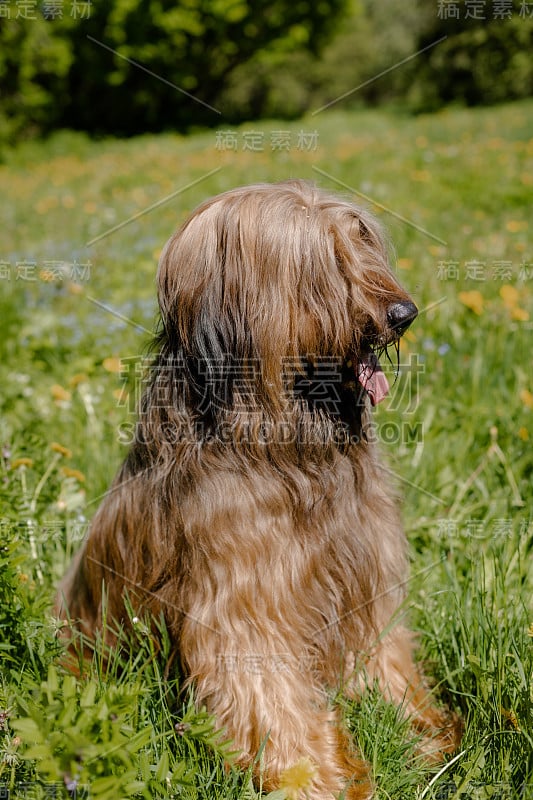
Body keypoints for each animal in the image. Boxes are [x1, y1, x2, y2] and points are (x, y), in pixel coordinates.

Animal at [57, 181, 458, 800]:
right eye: (320, 262)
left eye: (363, 241)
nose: (404, 313)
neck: (287, 445)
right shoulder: (246, 597)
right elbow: (265, 689)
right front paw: (311, 778)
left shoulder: (364, 567)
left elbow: (385, 655)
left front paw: (424, 735)